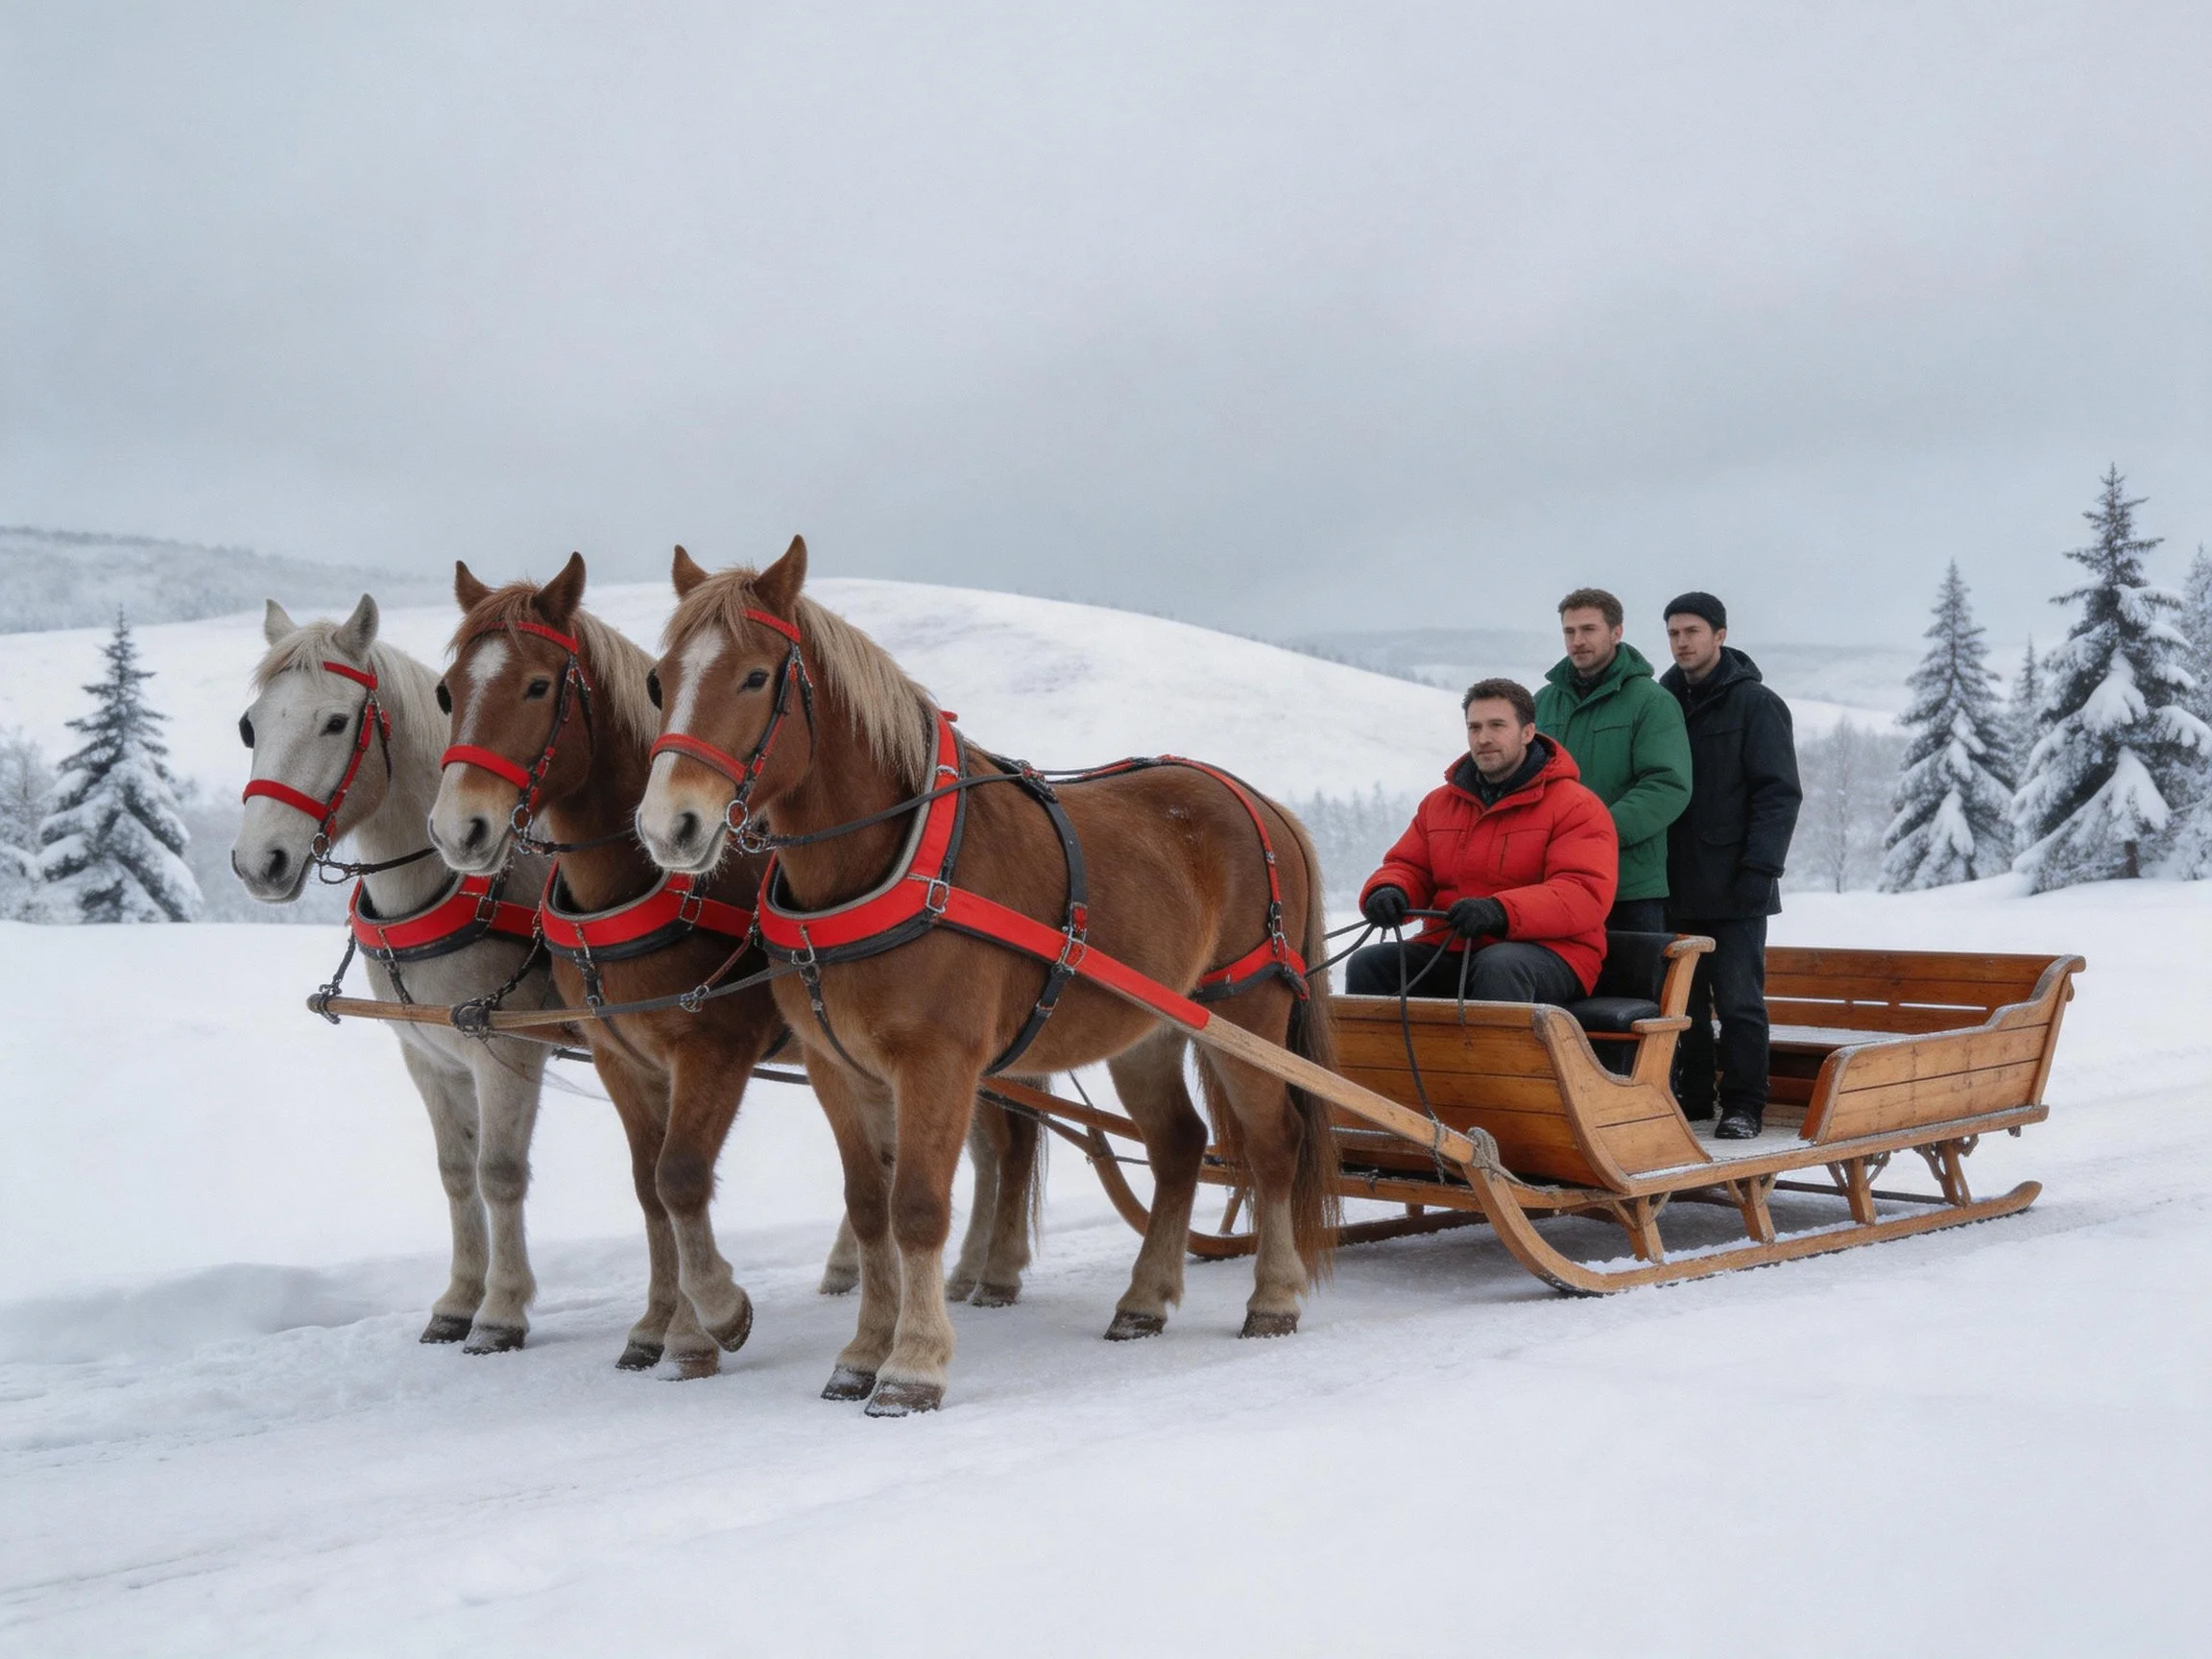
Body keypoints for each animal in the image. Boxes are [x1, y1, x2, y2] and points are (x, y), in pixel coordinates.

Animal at [232, 594, 561, 1353]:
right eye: (249, 727)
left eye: (335, 721)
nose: (259, 862)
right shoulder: (429, 1056)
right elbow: (456, 1174)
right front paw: (459, 1299)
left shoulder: (507, 1050)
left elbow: (500, 1174)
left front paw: (501, 1310)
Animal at [632, 538, 1339, 1415]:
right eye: (659, 680)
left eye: (757, 676)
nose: (670, 827)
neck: (888, 862)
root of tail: (1262, 803)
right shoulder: (838, 1067)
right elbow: (868, 1207)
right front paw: (860, 1349)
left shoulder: (937, 1061)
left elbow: (917, 1207)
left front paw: (912, 1365)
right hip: (1147, 1025)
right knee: (1179, 1145)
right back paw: (1143, 1301)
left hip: (1248, 1009)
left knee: (1276, 1144)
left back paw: (1273, 1297)